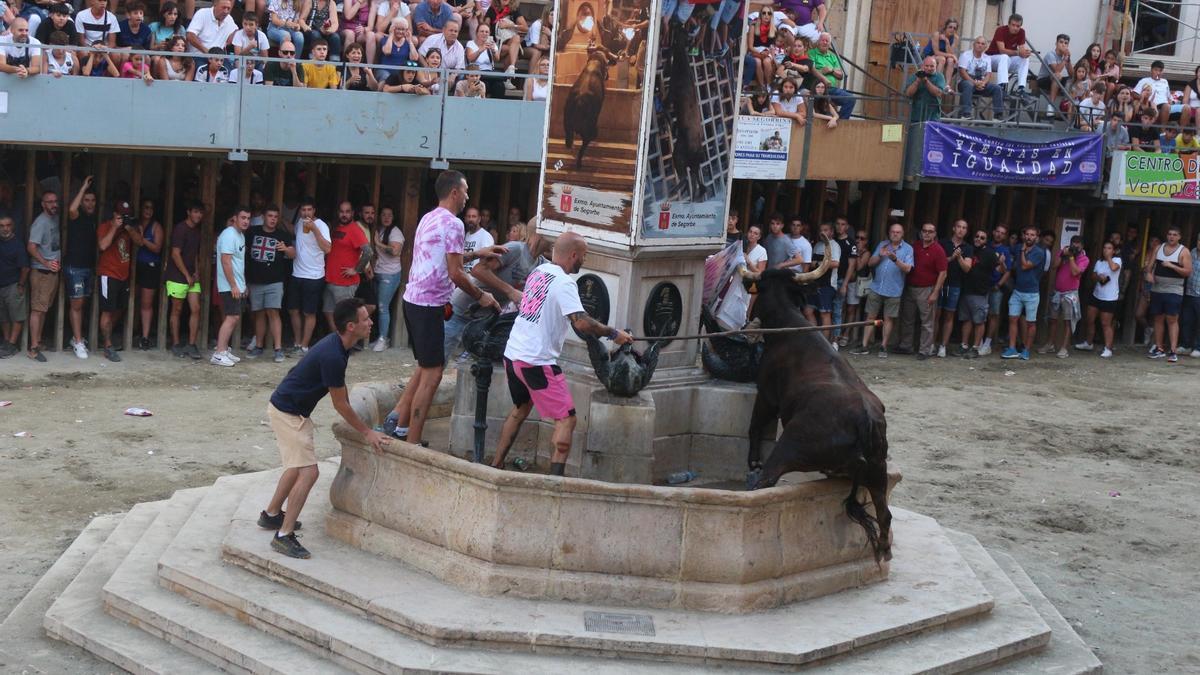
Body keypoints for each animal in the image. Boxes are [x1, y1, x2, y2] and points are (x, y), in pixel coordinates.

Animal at [739, 252, 892, 557]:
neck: (789, 325)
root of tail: (865, 420)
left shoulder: (767, 396)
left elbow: (755, 426)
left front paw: (753, 460)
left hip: (790, 447)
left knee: (766, 480)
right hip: (878, 471)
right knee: (884, 513)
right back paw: (883, 550)